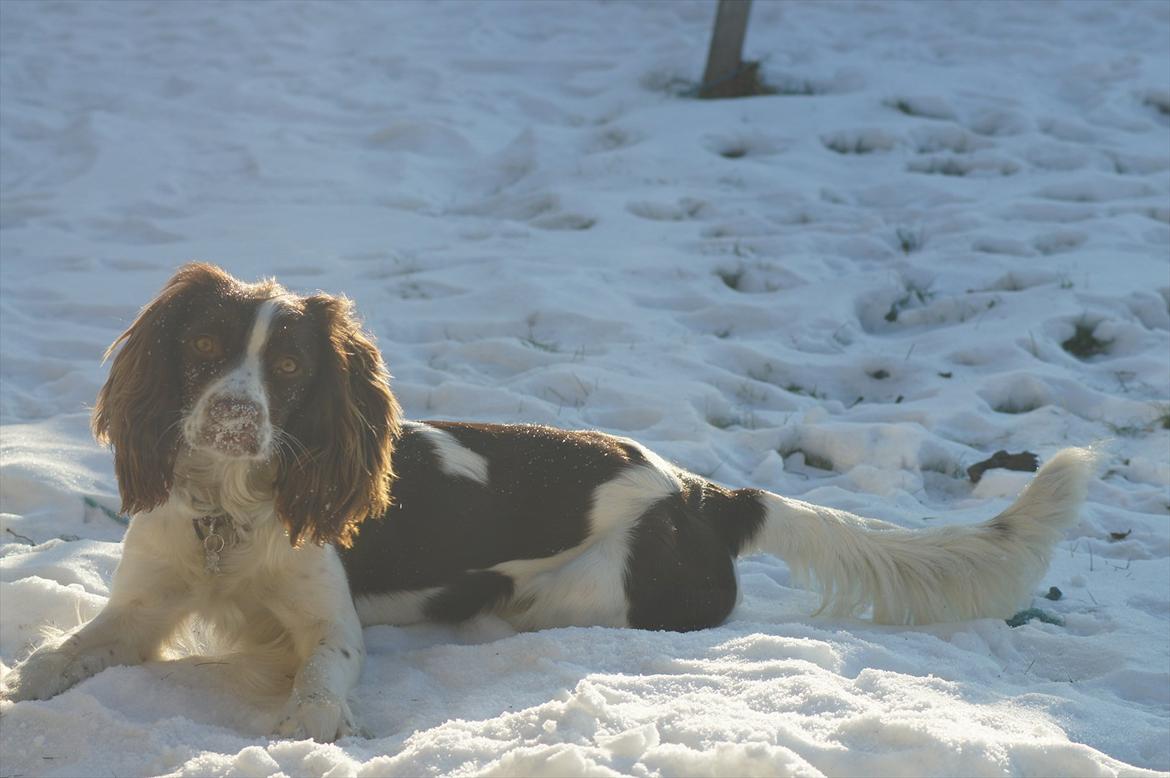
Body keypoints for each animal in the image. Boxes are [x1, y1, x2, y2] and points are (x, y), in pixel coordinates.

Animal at [0, 262, 1095, 739]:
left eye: (293, 367)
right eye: (200, 347)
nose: (233, 414)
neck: (229, 508)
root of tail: (706, 493)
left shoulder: (328, 622)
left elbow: (321, 678)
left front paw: (306, 729)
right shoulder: (147, 601)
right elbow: (67, 652)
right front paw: (27, 681)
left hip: (577, 594)